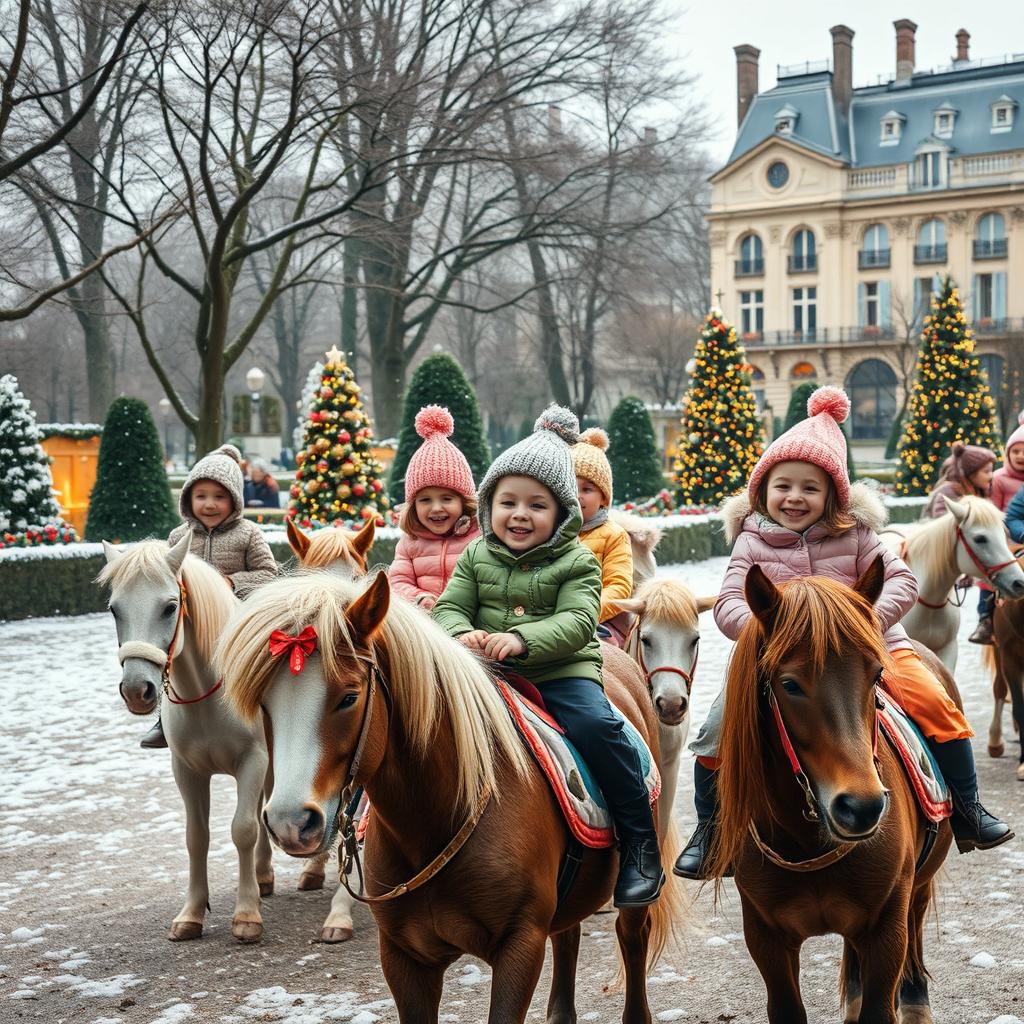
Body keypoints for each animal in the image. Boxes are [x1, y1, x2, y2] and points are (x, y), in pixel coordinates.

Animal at [96, 536, 360, 942]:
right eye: (114, 609)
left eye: (169, 606)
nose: (137, 690)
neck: (206, 694)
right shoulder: (186, 770)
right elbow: (196, 836)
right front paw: (191, 913)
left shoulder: (253, 760)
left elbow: (244, 829)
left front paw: (247, 914)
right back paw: (267, 875)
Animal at [217, 573, 679, 1019]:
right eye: (265, 705)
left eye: (348, 697)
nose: (291, 823)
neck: (436, 820)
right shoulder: (403, 958)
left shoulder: (519, 947)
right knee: (568, 935)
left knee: (631, 937)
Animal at [712, 561, 950, 1024]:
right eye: (789, 684)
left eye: (877, 675)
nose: (863, 806)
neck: (808, 842)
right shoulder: (765, 937)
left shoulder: (887, 926)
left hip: (918, 885)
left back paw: (915, 999)